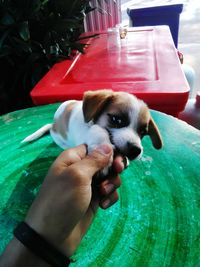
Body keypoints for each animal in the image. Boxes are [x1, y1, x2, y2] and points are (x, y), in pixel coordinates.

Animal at [22, 90, 162, 174]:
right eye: (116, 119)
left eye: (142, 132)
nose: (135, 150)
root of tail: (53, 124)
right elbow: (98, 130)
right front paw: (102, 147)